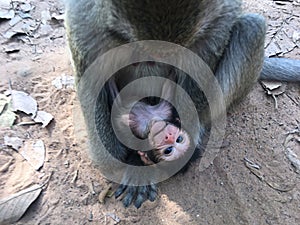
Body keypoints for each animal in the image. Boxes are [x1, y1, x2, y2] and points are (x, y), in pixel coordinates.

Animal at [64, 0, 298, 207]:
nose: (168, 136)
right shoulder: (83, 22)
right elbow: (91, 79)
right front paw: (129, 162)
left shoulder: (220, 16)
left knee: (251, 28)